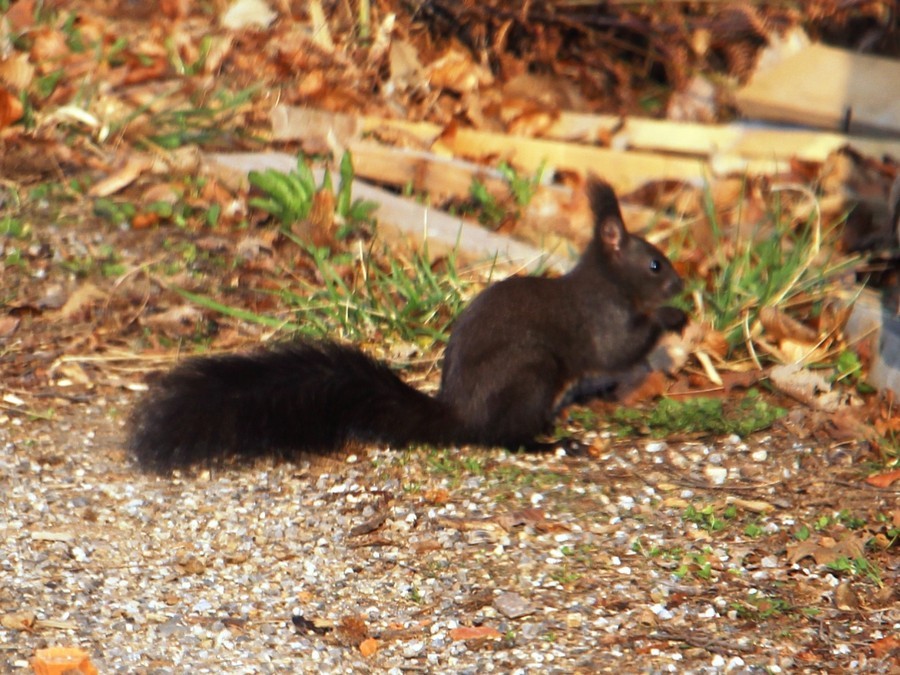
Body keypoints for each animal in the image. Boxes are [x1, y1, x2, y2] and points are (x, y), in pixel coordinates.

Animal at [130, 182, 684, 472]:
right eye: (656, 264)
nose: (681, 284)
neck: (607, 280)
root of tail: (461, 415)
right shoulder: (599, 319)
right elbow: (617, 350)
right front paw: (673, 318)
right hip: (531, 372)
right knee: (504, 437)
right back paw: (550, 442)